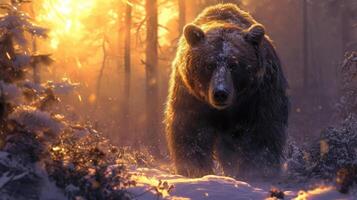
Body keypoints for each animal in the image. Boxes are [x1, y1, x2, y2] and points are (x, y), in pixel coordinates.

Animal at [164, 3, 290, 178]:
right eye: (209, 65)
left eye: (234, 64)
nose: (220, 93)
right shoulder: (191, 95)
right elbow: (191, 130)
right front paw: (195, 170)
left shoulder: (259, 95)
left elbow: (262, 131)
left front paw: (256, 171)